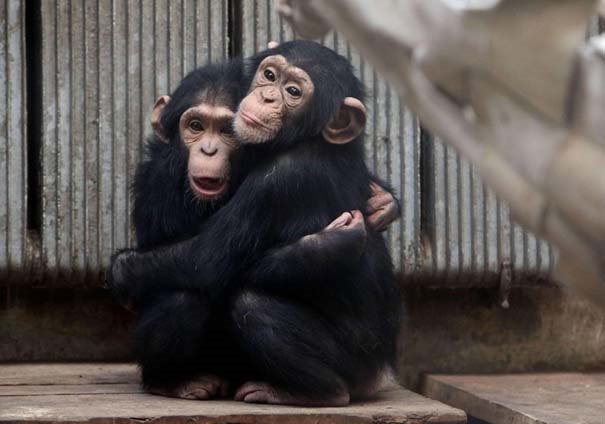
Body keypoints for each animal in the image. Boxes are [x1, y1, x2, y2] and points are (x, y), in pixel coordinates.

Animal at [109, 41, 402, 406]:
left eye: (293, 92)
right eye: (270, 75)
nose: (267, 97)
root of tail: (379, 374)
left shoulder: (278, 180)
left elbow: (207, 260)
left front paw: (123, 269)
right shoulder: (160, 179)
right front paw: (346, 233)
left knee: (249, 304)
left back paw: (314, 391)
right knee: (184, 298)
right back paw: (170, 382)